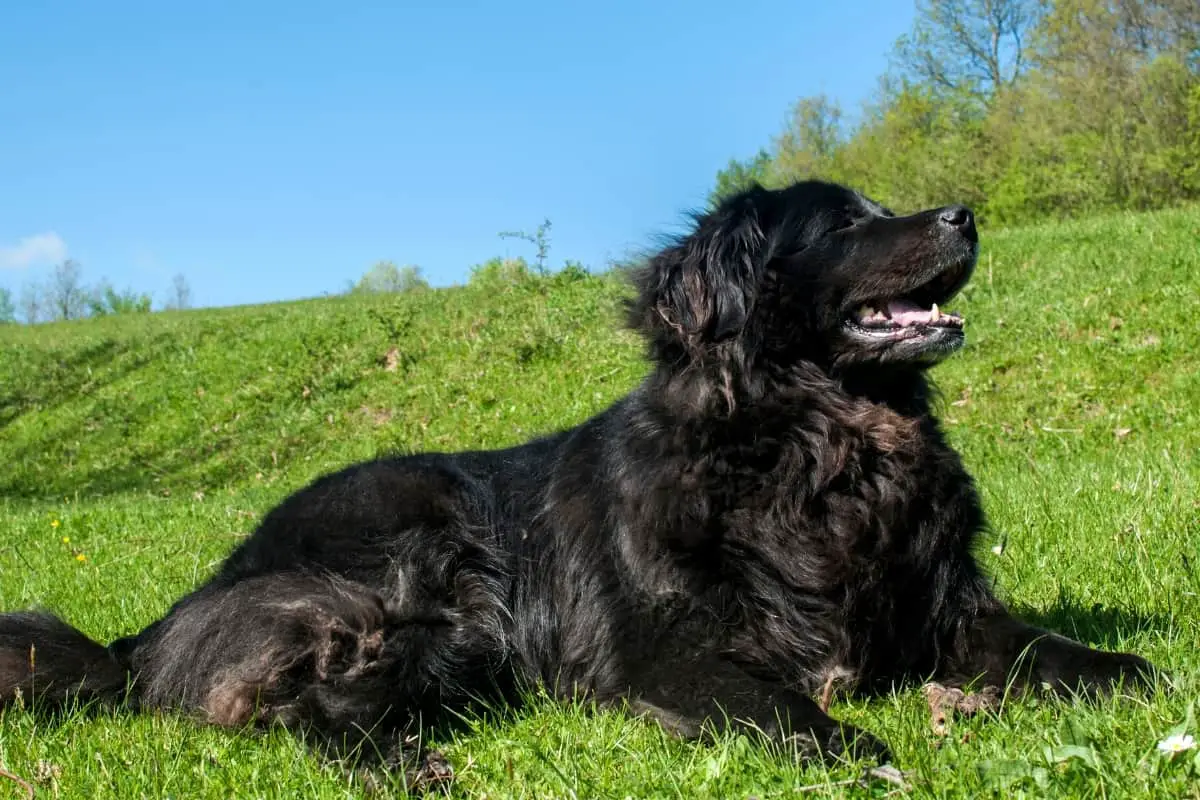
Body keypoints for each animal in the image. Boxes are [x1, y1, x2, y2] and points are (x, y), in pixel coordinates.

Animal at [2, 178, 1161, 777]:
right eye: (848, 223)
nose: (966, 213)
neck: (812, 450)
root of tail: (166, 616)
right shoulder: (666, 651)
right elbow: (782, 706)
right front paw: (852, 744)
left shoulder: (939, 610)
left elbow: (1052, 649)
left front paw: (1124, 671)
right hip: (431, 571)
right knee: (304, 701)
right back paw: (401, 762)